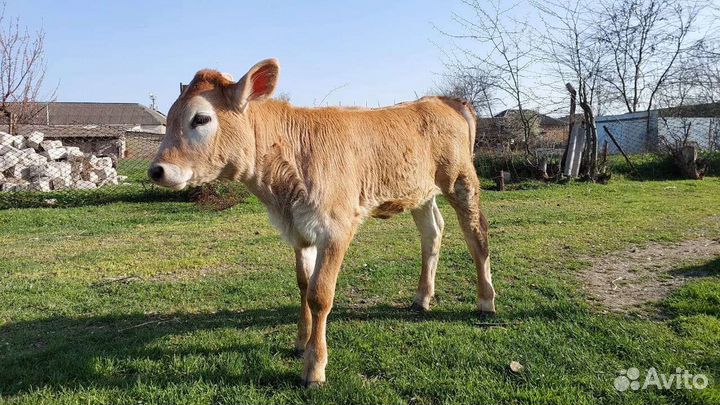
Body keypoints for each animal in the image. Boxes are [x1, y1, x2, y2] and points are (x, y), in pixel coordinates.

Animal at [149, 58, 496, 387]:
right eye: (169, 118)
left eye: (201, 119)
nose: (156, 170)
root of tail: (443, 100)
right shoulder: (299, 230)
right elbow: (304, 285)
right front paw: (301, 342)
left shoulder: (336, 228)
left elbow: (320, 294)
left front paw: (314, 367)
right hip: (419, 192)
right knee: (432, 232)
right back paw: (422, 297)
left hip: (461, 180)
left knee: (476, 234)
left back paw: (486, 300)